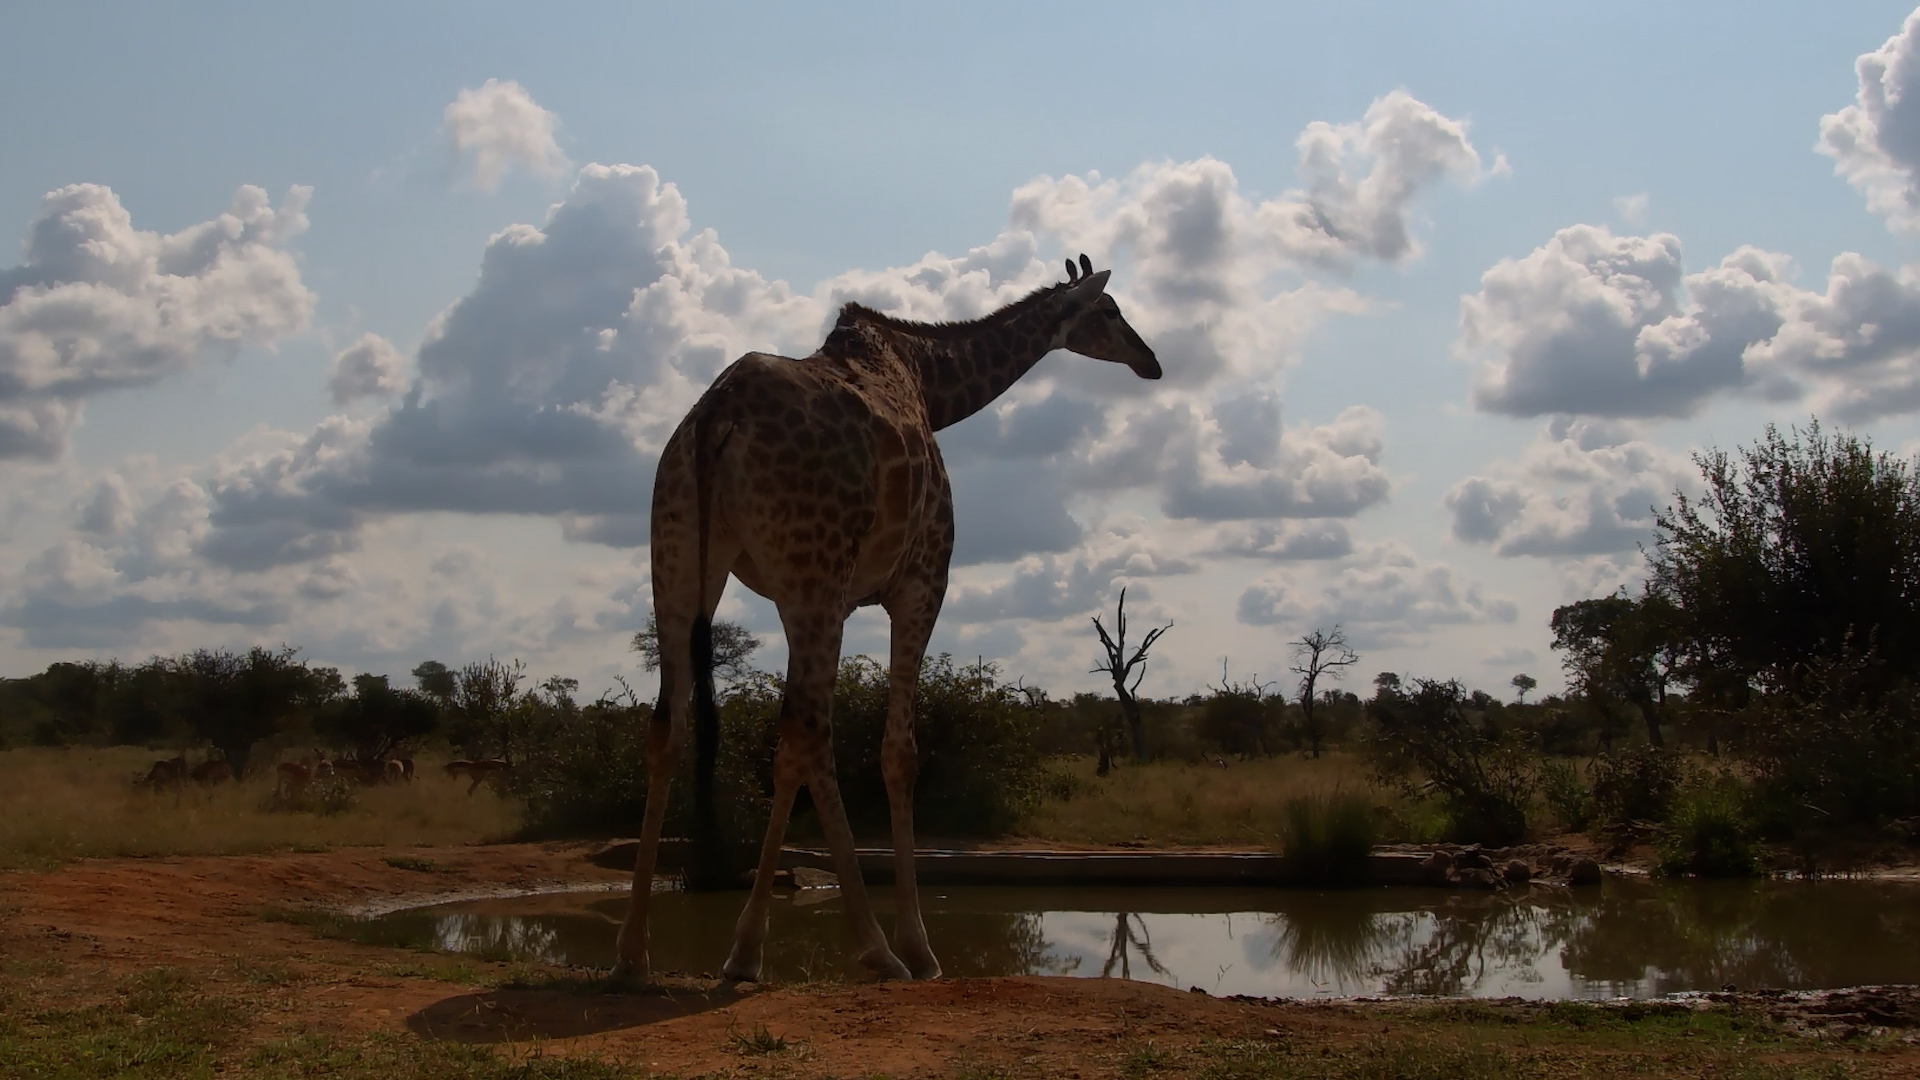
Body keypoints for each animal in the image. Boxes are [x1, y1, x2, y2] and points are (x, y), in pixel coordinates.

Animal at [615, 254, 1160, 984]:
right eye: (1109, 311)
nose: (1151, 361)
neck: (931, 382)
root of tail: (715, 419)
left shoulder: (801, 592)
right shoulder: (921, 580)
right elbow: (899, 752)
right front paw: (919, 947)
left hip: (676, 560)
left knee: (672, 726)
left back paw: (635, 955)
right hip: (810, 574)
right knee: (806, 731)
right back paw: (862, 951)